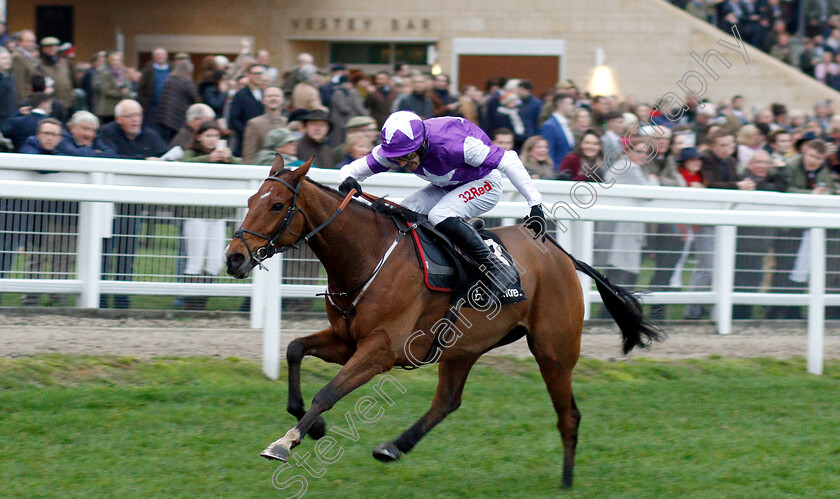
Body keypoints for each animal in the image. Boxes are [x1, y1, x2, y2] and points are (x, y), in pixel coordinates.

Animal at [223, 155, 664, 488]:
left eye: (277, 205)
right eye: (250, 198)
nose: (234, 258)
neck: (367, 256)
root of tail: (561, 254)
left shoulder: (381, 349)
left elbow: (328, 392)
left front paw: (287, 441)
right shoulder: (347, 340)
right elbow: (294, 349)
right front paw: (311, 427)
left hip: (553, 350)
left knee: (568, 415)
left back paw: (567, 482)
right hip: (462, 347)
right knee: (447, 401)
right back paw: (394, 446)